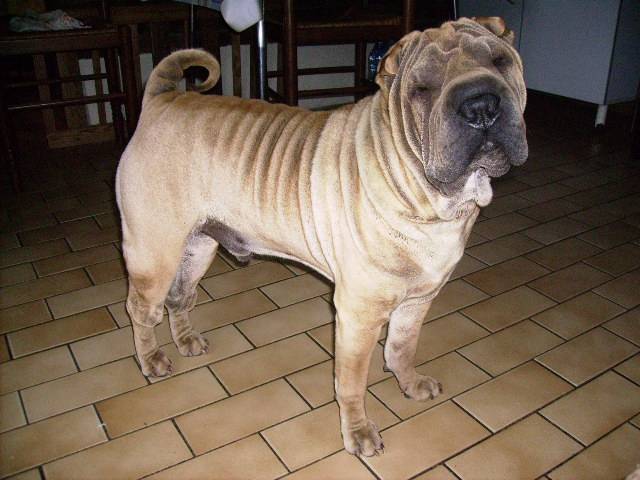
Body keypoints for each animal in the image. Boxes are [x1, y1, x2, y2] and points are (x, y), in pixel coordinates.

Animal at [116, 16, 527, 456]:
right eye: (423, 88)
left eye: (499, 62)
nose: (481, 106)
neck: (432, 199)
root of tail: (161, 99)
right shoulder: (358, 314)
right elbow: (351, 382)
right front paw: (358, 432)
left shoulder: (419, 299)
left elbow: (402, 346)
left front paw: (410, 383)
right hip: (154, 252)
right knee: (142, 308)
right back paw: (151, 360)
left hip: (198, 247)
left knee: (179, 297)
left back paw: (186, 341)